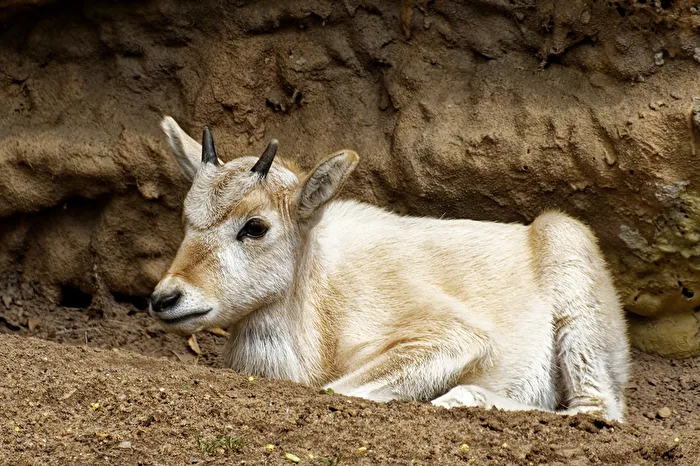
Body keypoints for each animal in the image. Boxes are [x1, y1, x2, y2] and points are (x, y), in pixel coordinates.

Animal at [150, 116, 629, 422]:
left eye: (255, 226)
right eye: (187, 217)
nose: (165, 298)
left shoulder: (451, 335)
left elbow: (335, 388)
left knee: (595, 409)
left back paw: (461, 399)